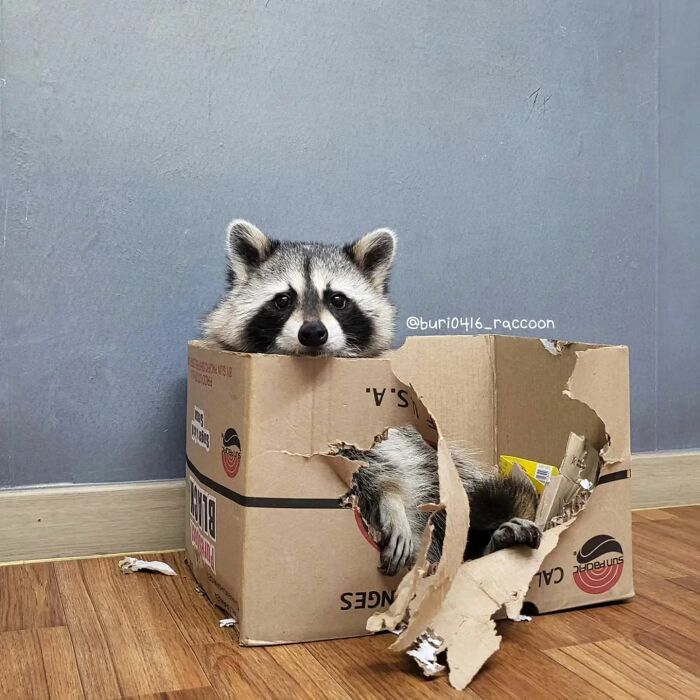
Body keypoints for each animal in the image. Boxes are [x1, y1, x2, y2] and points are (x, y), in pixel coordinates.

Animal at [202, 221, 540, 576]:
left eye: (338, 300)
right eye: (282, 300)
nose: (313, 333)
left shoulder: (390, 431)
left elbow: (390, 464)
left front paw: (392, 499)